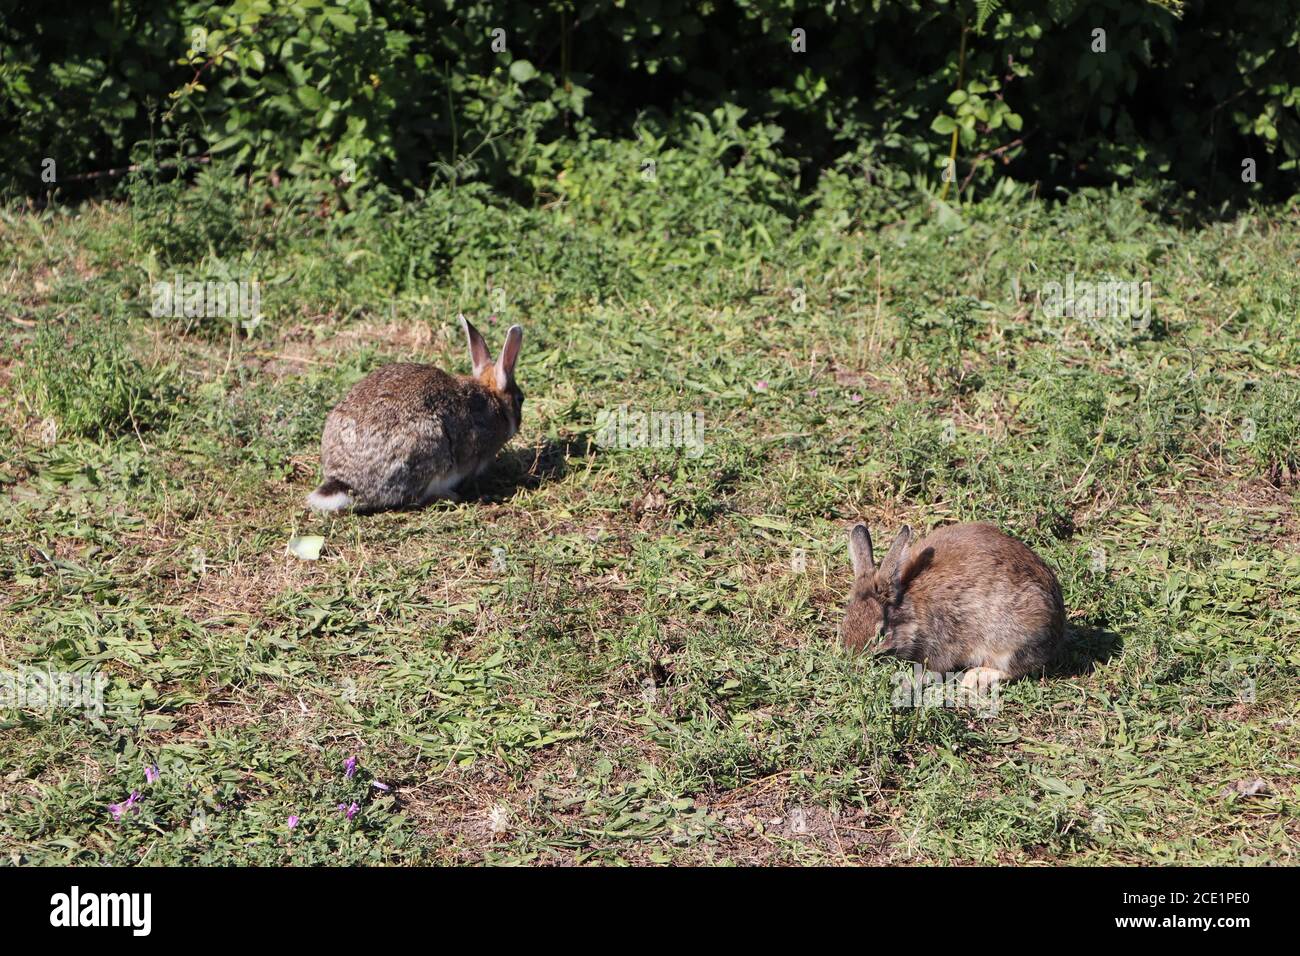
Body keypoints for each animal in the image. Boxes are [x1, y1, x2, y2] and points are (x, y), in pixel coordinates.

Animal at [842, 522, 1066, 686]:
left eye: (881, 633)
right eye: (845, 625)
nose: (855, 661)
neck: (911, 607)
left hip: (1013, 642)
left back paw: (973, 678)